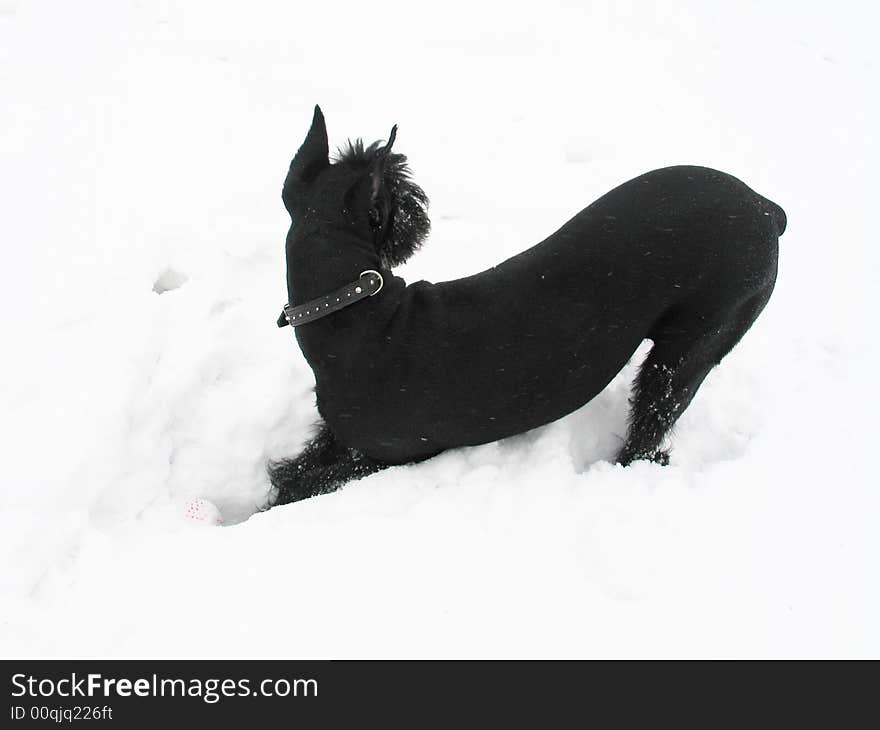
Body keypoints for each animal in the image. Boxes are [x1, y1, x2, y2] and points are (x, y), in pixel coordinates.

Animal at [266, 106, 784, 506]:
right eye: (399, 193)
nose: (420, 207)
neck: (358, 313)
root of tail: (766, 208)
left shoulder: (380, 457)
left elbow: (298, 485)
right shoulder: (345, 442)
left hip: (692, 345)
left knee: (653, 422)